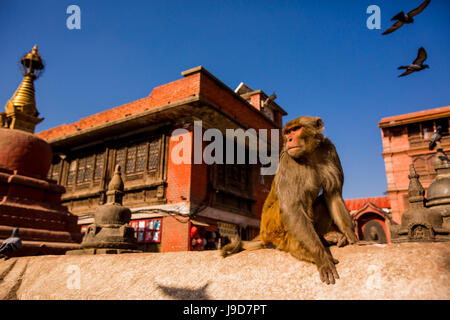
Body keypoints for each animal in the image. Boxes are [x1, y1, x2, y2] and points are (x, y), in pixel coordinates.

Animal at [220, 115, 356, 284]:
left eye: (296, 129)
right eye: (288, 132)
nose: (289, 139)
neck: (309, 154)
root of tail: (264, 234)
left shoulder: (330, 150)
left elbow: (333, 194)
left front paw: (352, 236)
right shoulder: (288, 160)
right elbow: (291, 206)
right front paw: (321, 256)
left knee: (323, 200)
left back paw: (326, 238)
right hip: (274, 229)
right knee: (289, 204)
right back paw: (300, 250)